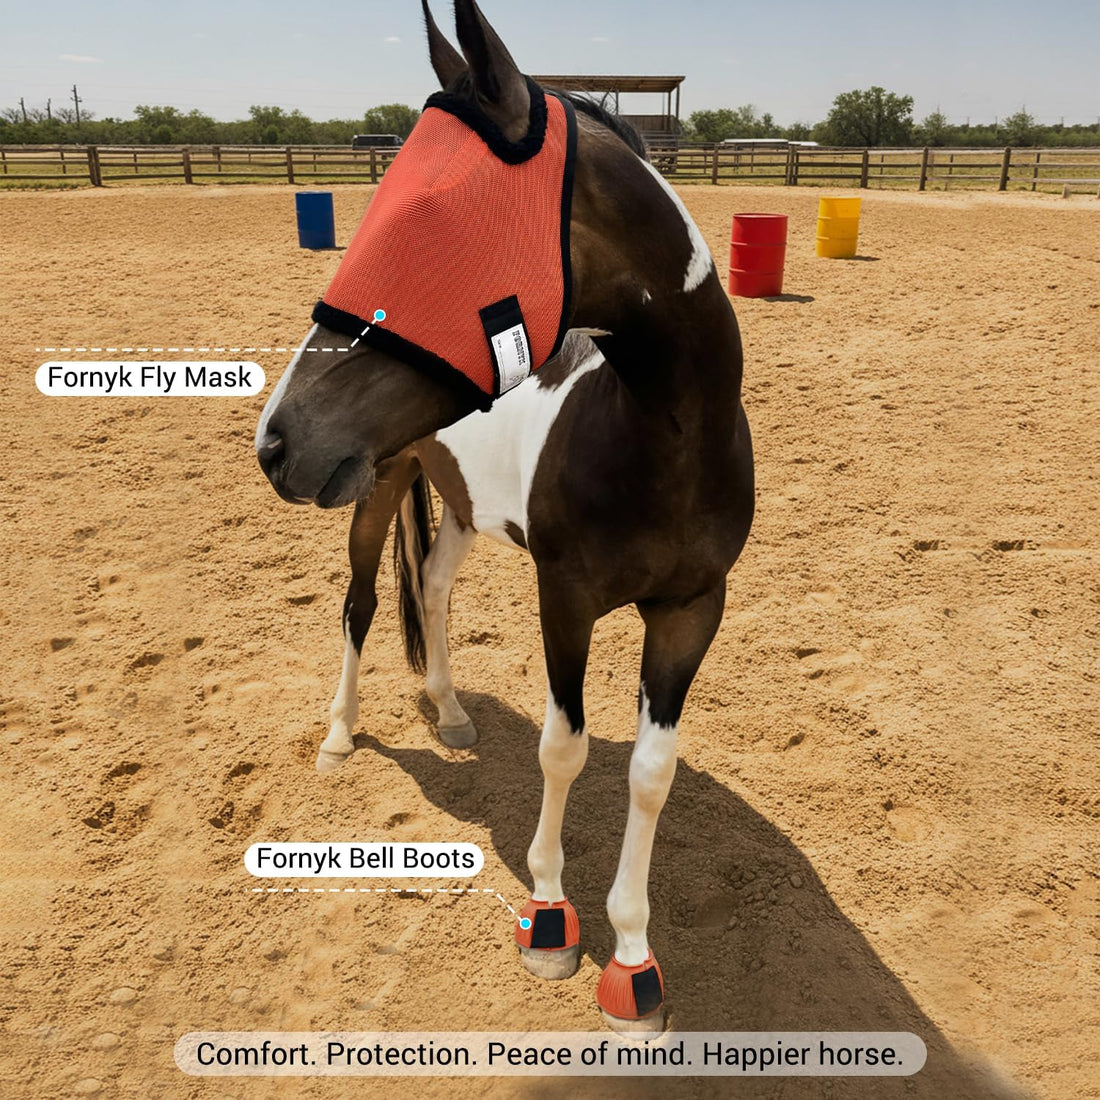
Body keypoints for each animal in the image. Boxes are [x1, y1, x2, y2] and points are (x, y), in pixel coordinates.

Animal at [255, 0, 754, 1034]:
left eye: (430, 220)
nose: (276, 440)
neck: (662, 437)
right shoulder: (564, 600)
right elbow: (563, 748)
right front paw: (553, 922)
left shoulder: (693, 611)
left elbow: (651, 773)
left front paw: (634, 964)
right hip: (378, 486)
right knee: (363, 607)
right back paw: (339, 735)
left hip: (452, 502)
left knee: (435, 590)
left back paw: (449, 712)